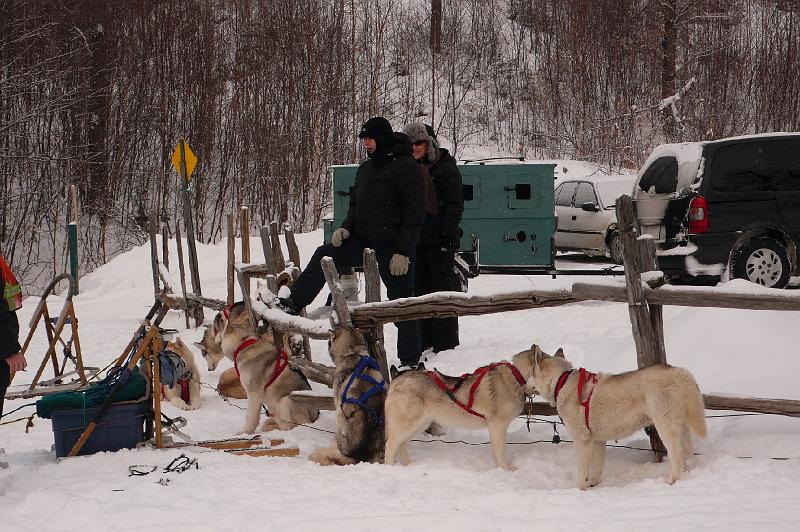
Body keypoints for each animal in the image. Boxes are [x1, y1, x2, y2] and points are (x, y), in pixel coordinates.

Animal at [382, 354, 536, 470]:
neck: (516, 378)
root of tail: (397, 380)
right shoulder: (497, 426)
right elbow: (501, 452)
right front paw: (506, 470)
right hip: (408, 425)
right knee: (390, 445)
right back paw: (389, 468)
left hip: (419, 425)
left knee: (401, 445)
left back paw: (409, 466)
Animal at [524, 344, 708, 486]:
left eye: (531, 371)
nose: (524, 385)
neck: (560, 382)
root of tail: (681, 372)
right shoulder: (597, 440)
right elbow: (596, 468)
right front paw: (594, 484)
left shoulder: (582, 440)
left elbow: (583, 472)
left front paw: (580, 489)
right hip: (682, 427)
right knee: (686, 453)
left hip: (665, 427)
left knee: (676, 455)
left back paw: (672, 480)